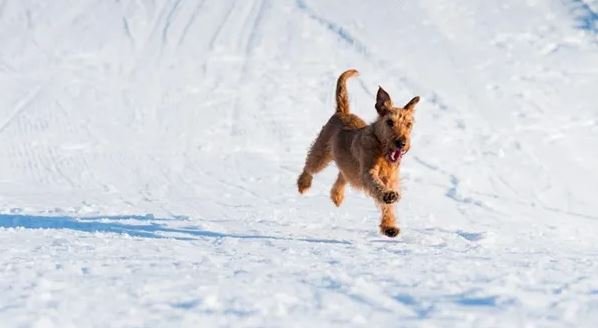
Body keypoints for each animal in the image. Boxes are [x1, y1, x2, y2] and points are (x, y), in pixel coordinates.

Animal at [296, 70, 420, 238]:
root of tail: (342, 112)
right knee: (309, 166)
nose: (401, 143)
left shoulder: (391, 179)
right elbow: (377, 185)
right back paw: (303, 184)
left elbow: (388, 207)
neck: (381, 149)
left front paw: (389, 226)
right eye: (390, 122)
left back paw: (337, 196)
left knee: (342, 175)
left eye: (409, 124)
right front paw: (388, 196)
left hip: (347, 167)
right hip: (321, 153)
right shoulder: (368, 172)